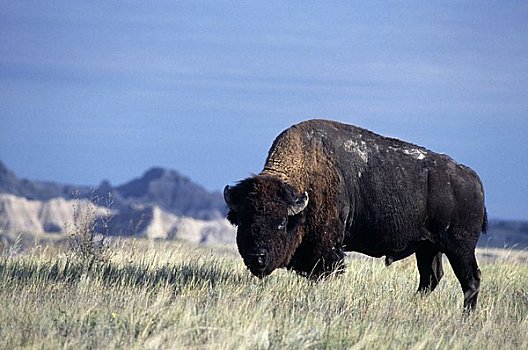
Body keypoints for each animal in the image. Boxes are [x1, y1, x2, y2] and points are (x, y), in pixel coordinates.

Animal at [223, 119, 486, 310]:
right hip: (428, 247)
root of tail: (472, 178)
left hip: (460, 248)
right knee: (430, 278)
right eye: (243, 222)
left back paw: (466, 316)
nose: (257, 257)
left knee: (470, 280)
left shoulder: (327, 252)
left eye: (280, 223)